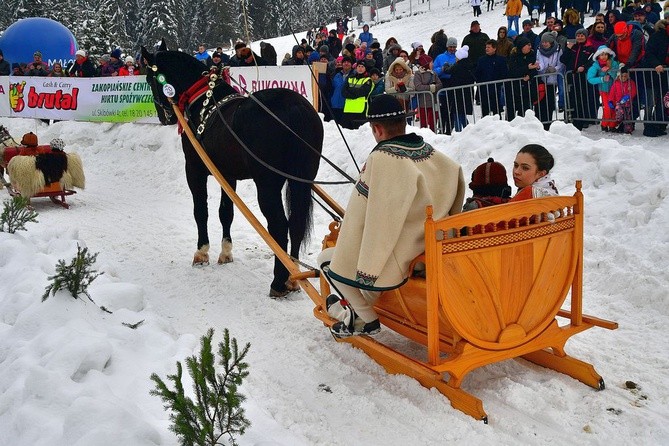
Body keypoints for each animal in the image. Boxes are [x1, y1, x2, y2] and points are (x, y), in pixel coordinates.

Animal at [142, 44, 324, 296]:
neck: (204, 101)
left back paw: (278, 281)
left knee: (279, 226)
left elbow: (201, 211)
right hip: (303, 178)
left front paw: (201, 253)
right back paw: (292, 278)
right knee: (296, 224)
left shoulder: (194, 169)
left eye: (149, 79)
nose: (164, 117)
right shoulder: (228, 175)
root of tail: (294, 106)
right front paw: (225, 252)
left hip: (267, 184)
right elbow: (225, 212)